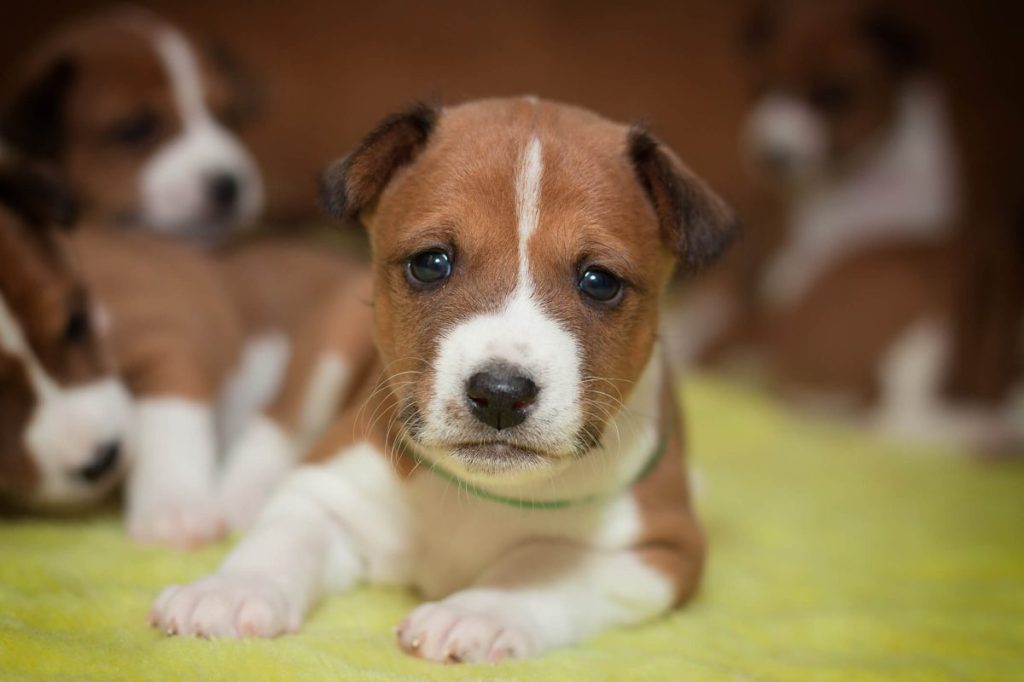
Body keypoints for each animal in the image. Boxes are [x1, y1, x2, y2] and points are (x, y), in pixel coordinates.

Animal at [148, 98, 737, 659]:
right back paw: (240, 497)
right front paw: (230, 589)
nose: (500, 394)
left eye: (599, 281)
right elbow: (283, 539)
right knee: (276, 424)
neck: (479, 492)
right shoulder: (328, 492)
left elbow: (542, 563)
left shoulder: (659, 552)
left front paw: (476, 613)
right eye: (431, 262)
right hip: (328, 353)